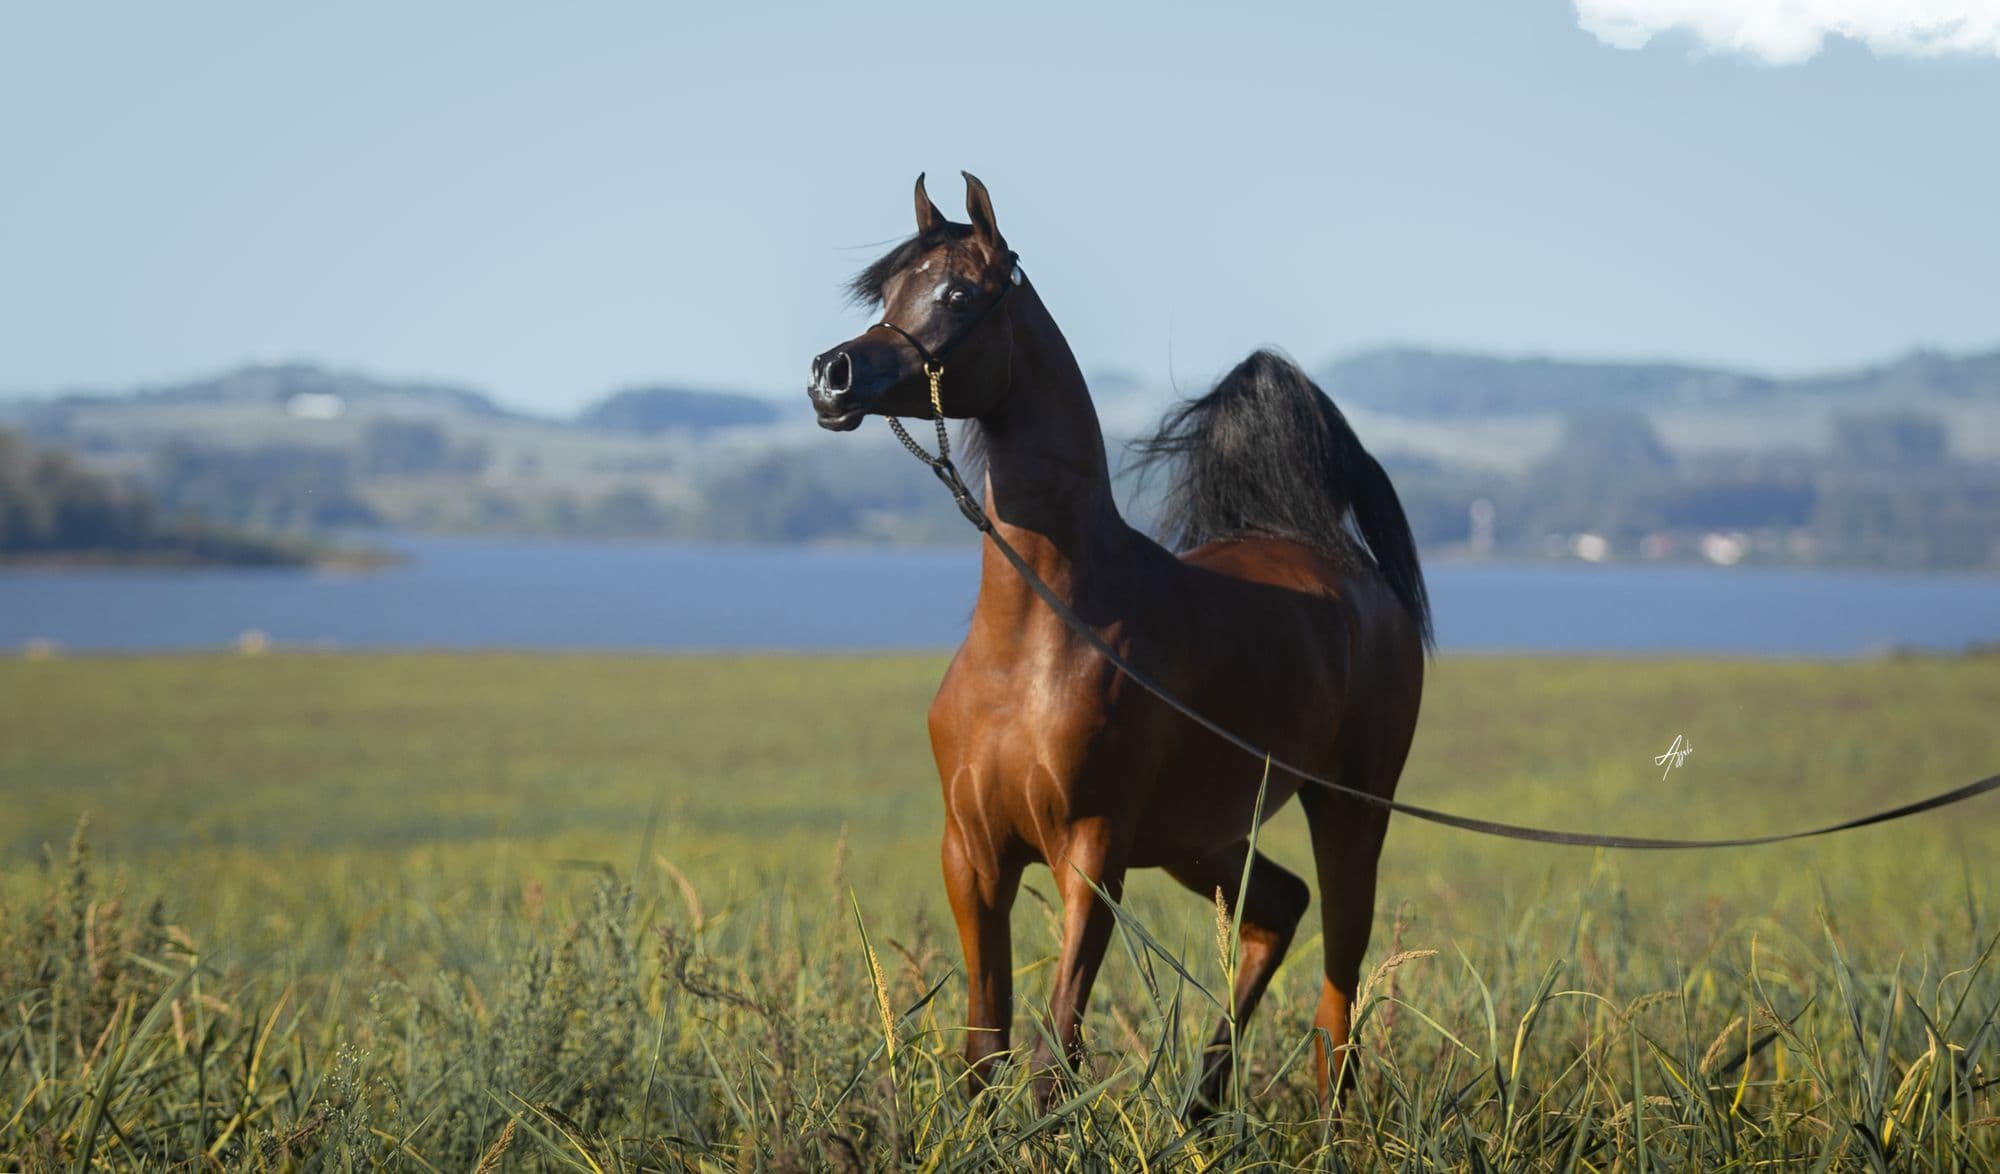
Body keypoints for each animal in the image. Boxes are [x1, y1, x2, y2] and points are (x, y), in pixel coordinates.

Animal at [807, 172, 1431, 1114]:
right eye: (886, 295)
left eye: (956, 295)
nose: (831, 376)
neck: (1035, 640)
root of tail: (1339, 563)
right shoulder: (973, 855)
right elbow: (984, 1047)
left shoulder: (1094, 851)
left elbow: (1052, 1053)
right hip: (1200, 839)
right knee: (1279, 909)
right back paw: (1200, 1108)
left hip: (1349, 810)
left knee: (1338, 997)